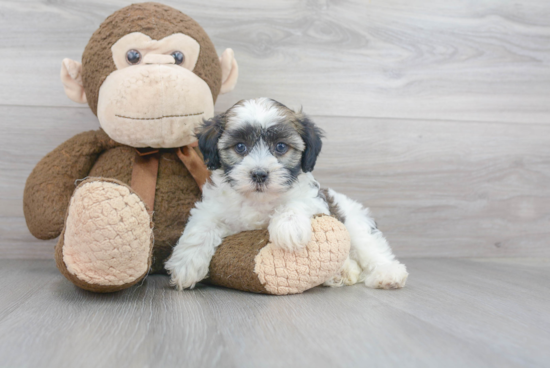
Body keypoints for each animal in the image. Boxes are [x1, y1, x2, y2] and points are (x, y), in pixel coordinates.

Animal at [165, 98, 410, 290]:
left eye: (281, 147)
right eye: (240, 147)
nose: (259, 174)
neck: (259, 200)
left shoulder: (313, 199)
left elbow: (296, 203)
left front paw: (289, 227)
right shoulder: (212, 207)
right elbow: (201, 227)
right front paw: (186, 264)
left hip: (353, 222)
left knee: (371, 248)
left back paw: (387, 274)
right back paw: (343, 273)